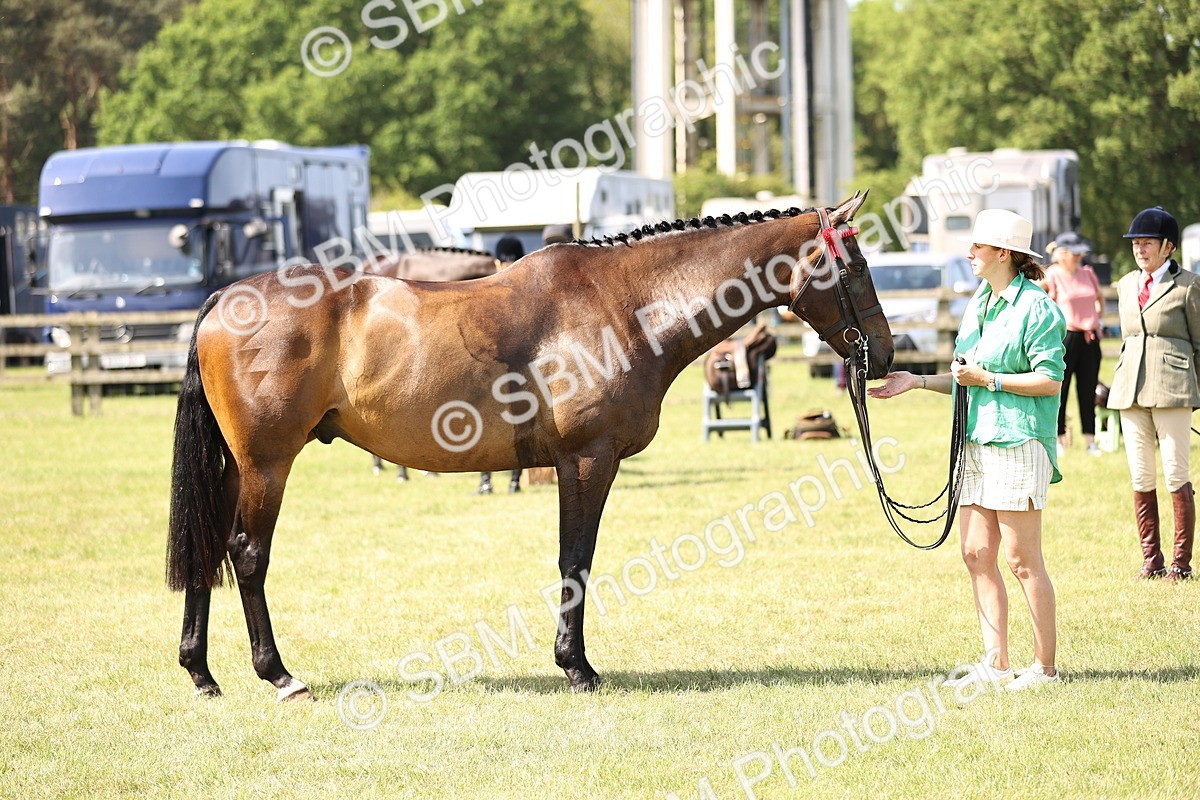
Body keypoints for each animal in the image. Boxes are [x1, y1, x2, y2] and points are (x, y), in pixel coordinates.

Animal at [166, 193, 893, 700]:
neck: (628, 305)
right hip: (266, 465)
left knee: (207, 547)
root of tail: (224, 297)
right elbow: (577, 560)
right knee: (247, 554)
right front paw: (577, 668)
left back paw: (201, 673)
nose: (883, 355)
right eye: (854, 266)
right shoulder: (588, 460)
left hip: (232, 467)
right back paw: (279, 675)